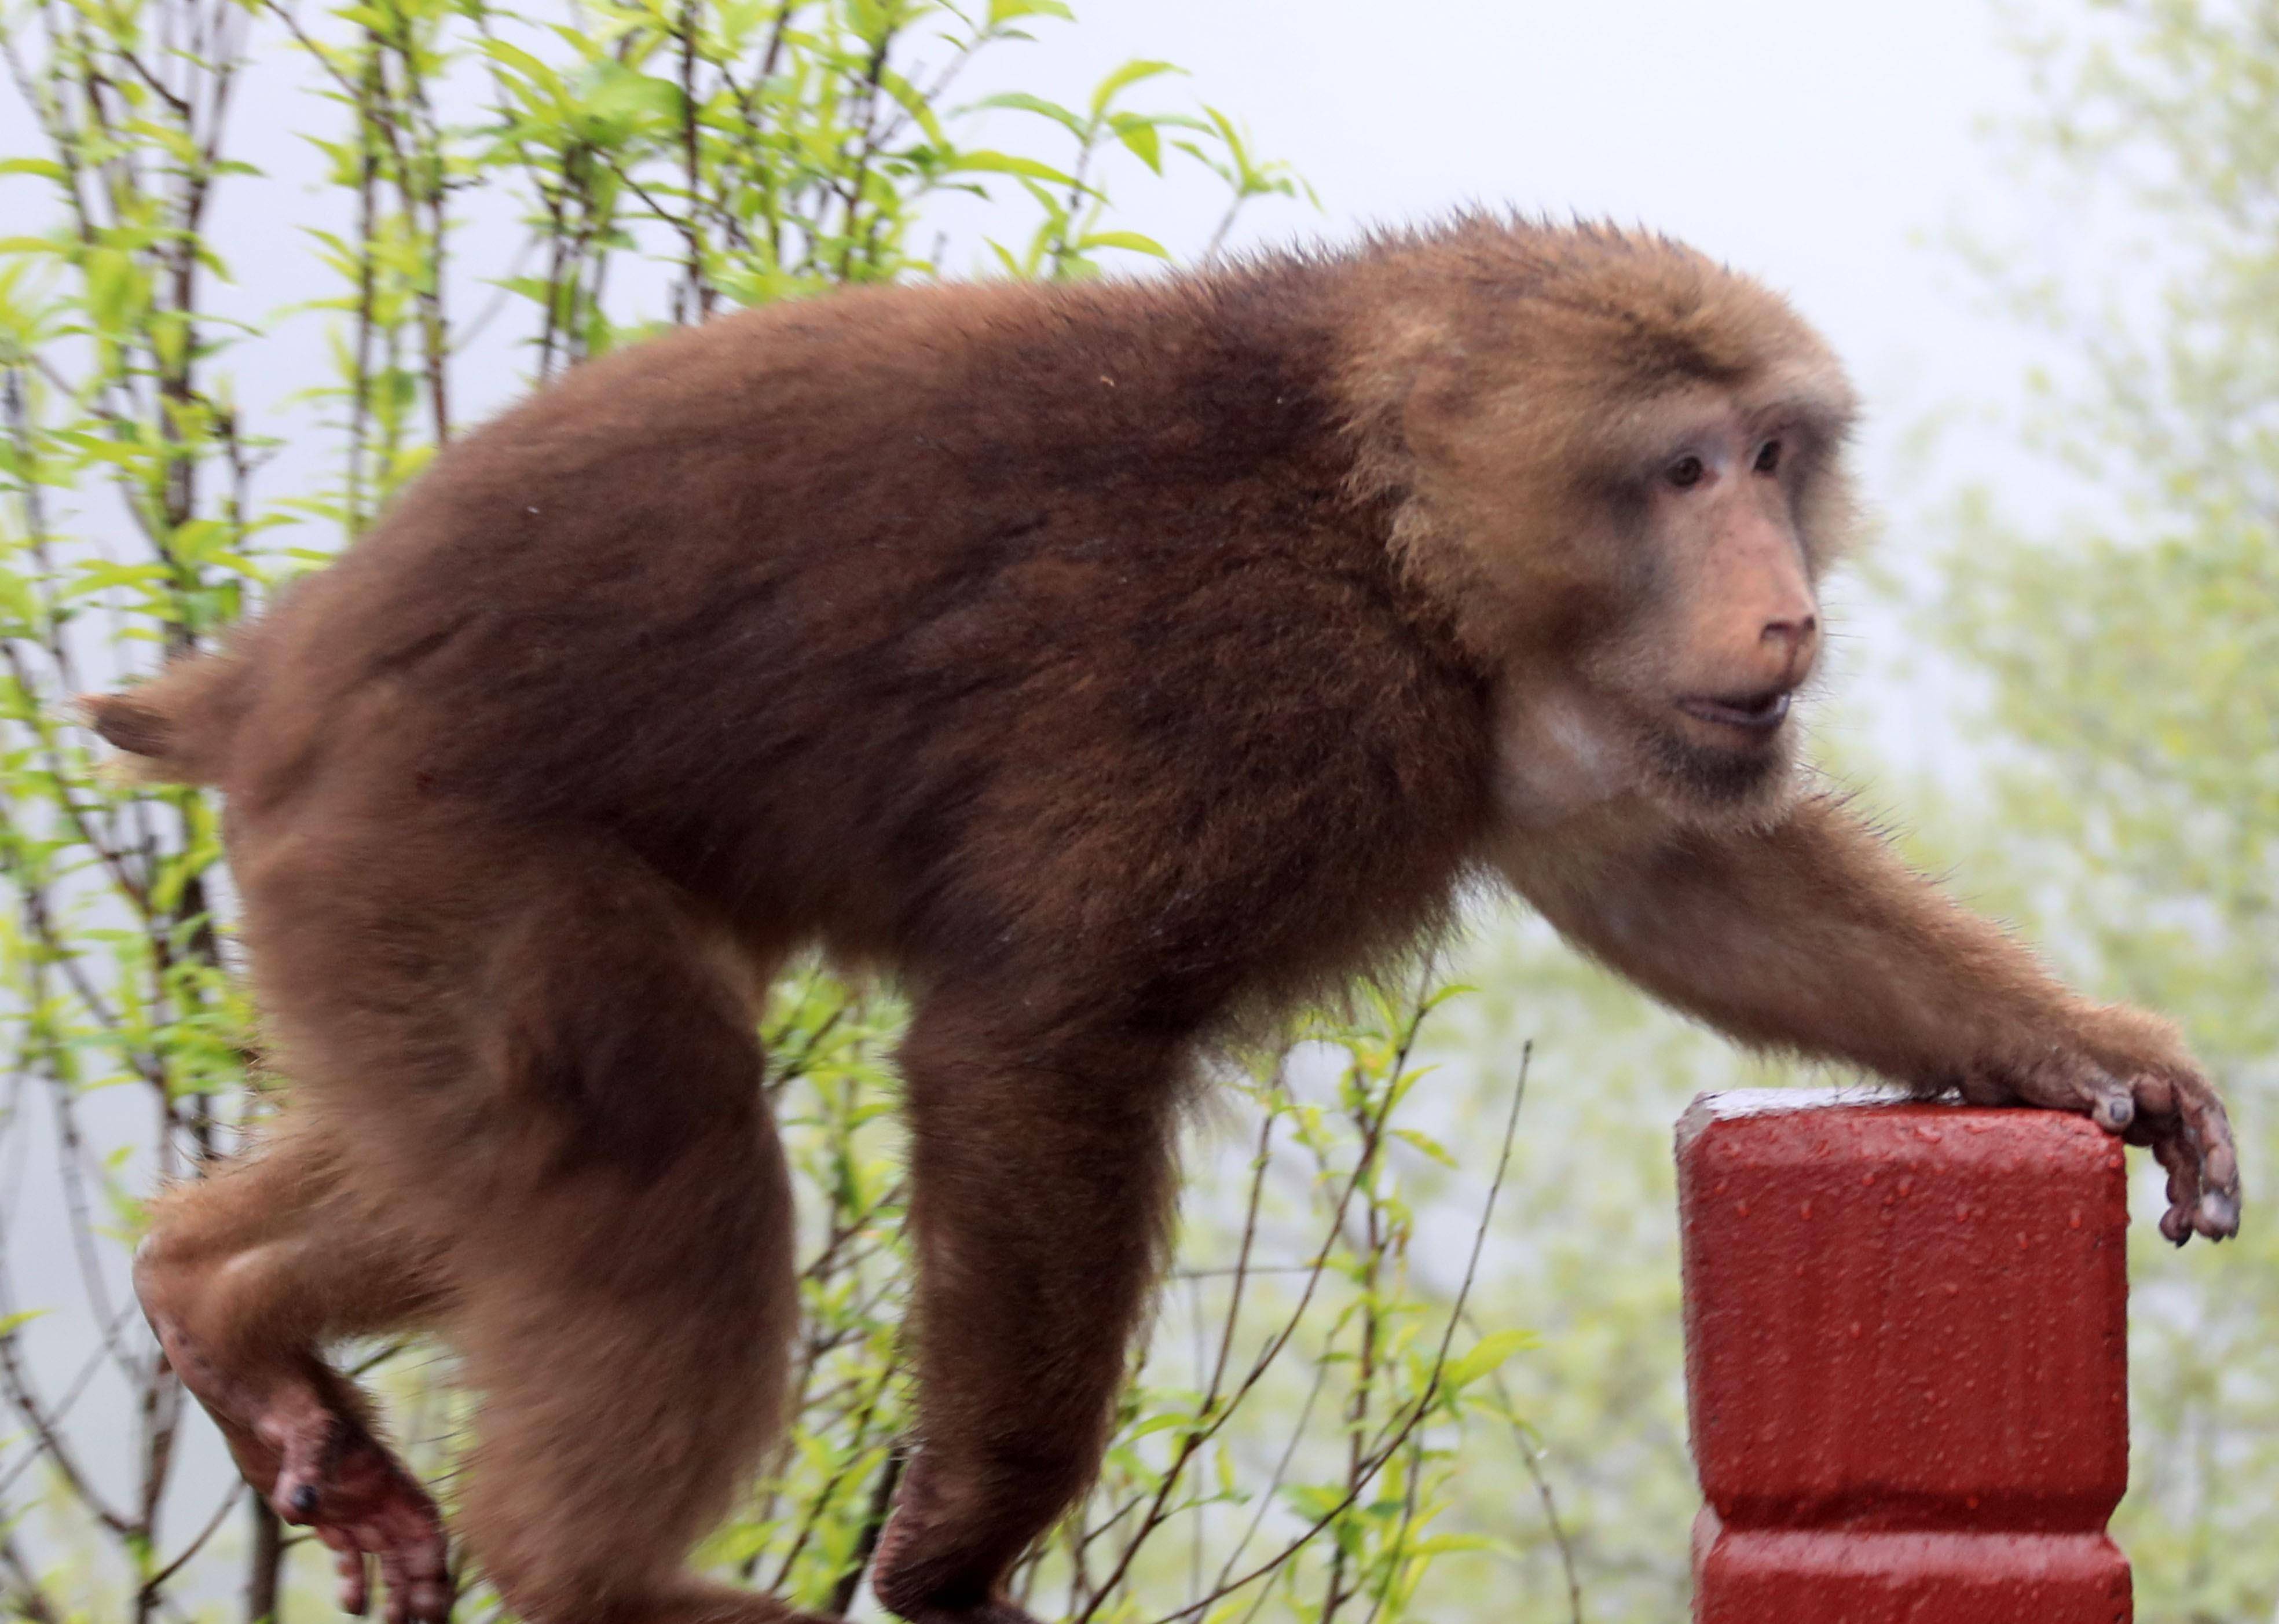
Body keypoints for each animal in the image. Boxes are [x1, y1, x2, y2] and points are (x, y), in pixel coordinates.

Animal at [93, 218, 2243, 1624]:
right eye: (1684, 468)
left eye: (1777, 459)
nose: (1782, 602)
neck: (1379, 524)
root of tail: (264, 677)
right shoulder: (1265, 692)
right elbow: (1037, 1032)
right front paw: (960, 1540)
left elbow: (1668, 870)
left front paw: (2104, 1059)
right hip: (421, 844)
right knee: (653, 1143)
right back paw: (594, 1576)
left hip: (364, 897)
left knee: (553, 1130)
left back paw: (222, 1298)